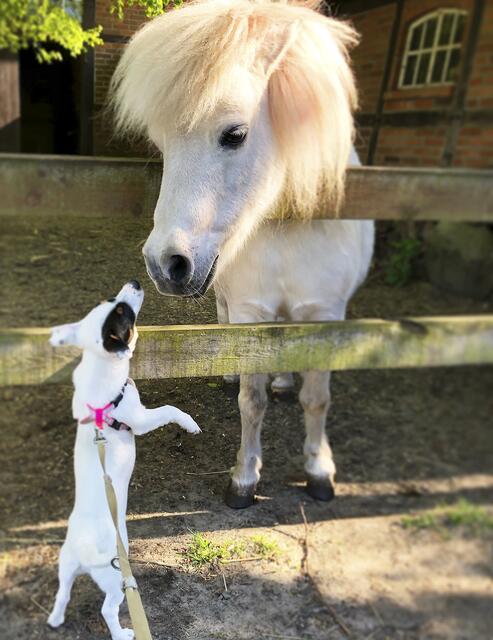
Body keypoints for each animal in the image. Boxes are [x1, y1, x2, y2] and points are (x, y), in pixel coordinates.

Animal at [111, 0, 374, 508]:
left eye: (234, 134)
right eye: (161, 144)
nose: (164, 263)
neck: (291, 224)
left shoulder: (326, 315)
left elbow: (317, 399)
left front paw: (319, 471)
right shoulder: (252, 312)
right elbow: (251, 402)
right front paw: (245, 478)